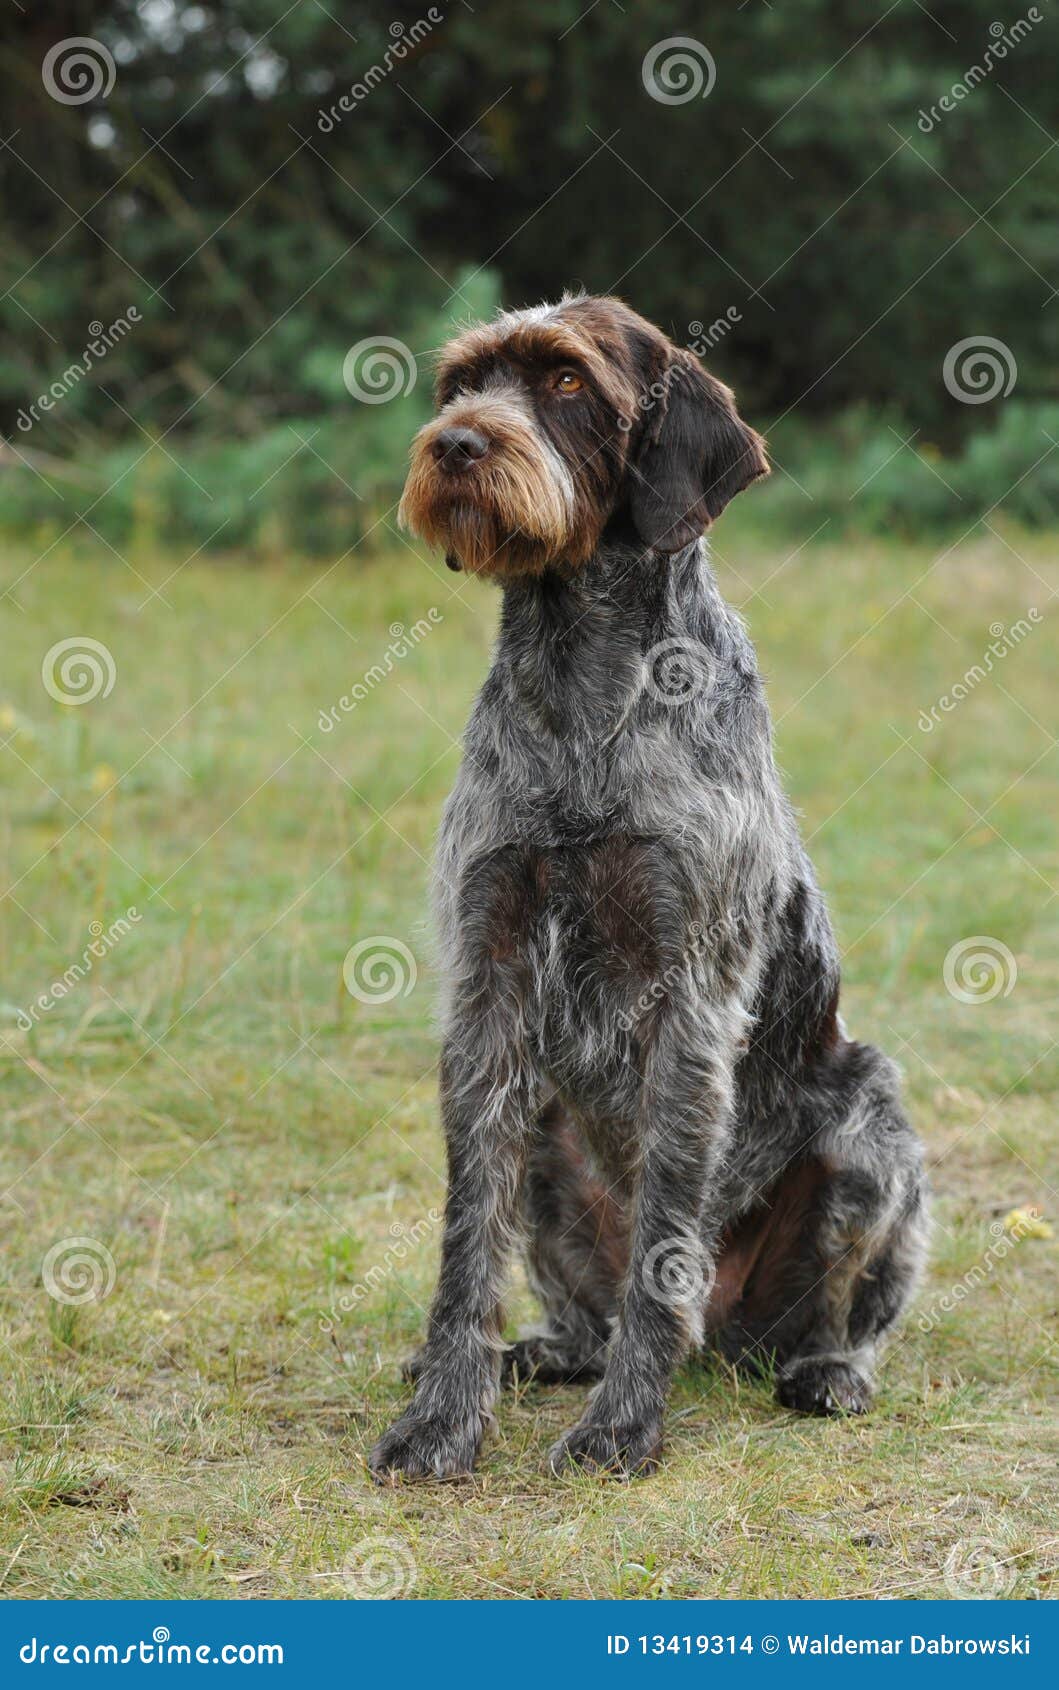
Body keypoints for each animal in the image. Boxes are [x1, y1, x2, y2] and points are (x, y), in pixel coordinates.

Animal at [368, 290, 932, 1480]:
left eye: (567, 381)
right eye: (461, 384)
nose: (456, 446)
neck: (579, 676)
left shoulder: (692, 999)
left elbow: (667, 1232)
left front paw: (623, 1423)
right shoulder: (486, 982)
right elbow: (466, 1239)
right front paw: (443, 1412)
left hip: (870, 1132)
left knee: (843, 1313)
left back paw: (828, 1370)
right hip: (545, 1129)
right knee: (578, 1290)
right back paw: (549, 1350)